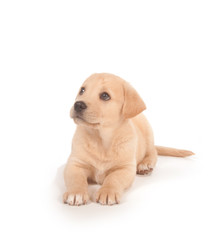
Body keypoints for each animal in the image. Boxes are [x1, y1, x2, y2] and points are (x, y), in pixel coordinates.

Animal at [62, 72, 193, 205]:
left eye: (105, 96)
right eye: (82, 90)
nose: (78, 105)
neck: (101, 139)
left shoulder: (126, 168)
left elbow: (113, 178)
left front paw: (108, 191)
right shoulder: (75, 163)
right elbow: (76, 178)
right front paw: (76, 192)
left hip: (148, 132)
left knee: (153, 152)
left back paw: (145, 165)